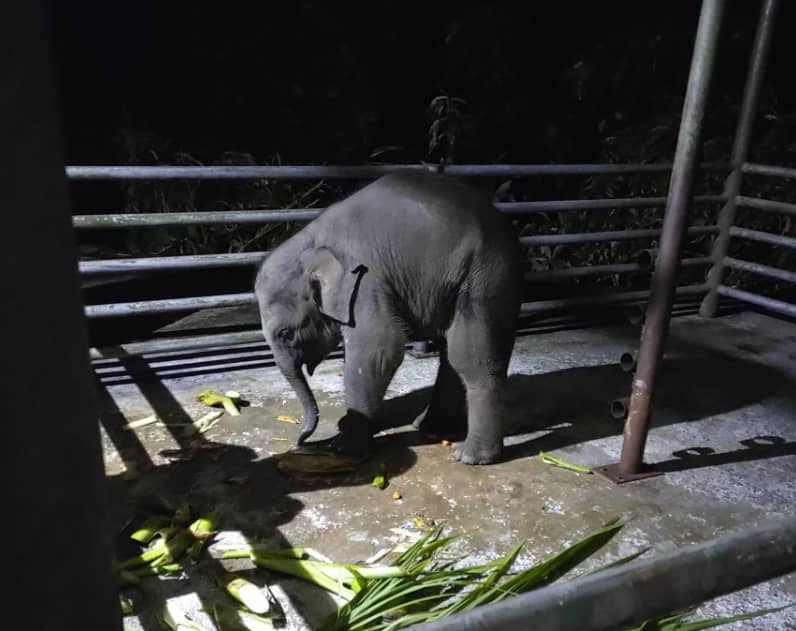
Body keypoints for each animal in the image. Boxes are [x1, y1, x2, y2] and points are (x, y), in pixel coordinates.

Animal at [254, 171, 522, 464]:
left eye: (286, 333)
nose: (301, 440)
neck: (313, 243)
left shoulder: (368, 283)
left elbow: (377, 351)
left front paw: (343, 447)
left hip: (485, 275)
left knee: (469, 356)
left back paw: (471, 457)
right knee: (450, 355)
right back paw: (429, 425)